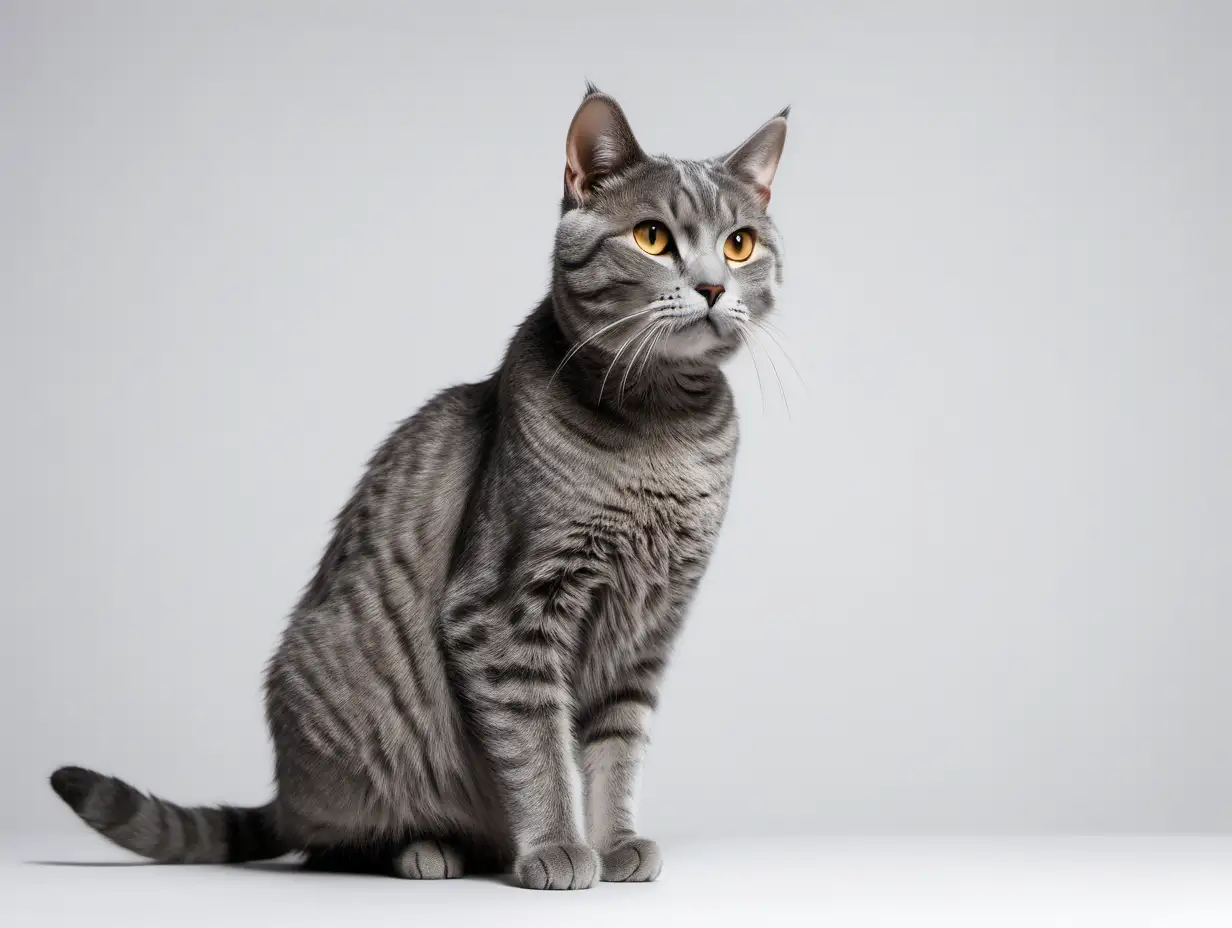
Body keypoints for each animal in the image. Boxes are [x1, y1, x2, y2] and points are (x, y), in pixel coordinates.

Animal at [48, 88, 788, 892]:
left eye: (740, 244)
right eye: (652, 238)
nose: (714, 285)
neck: (663, 431)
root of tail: (284, 790)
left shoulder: (648, 628)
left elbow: (616, 751)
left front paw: (616, 840)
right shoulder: (505, 610)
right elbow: (538, 748)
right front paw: (559, 846)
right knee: (325, 842)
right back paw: (423, 848)